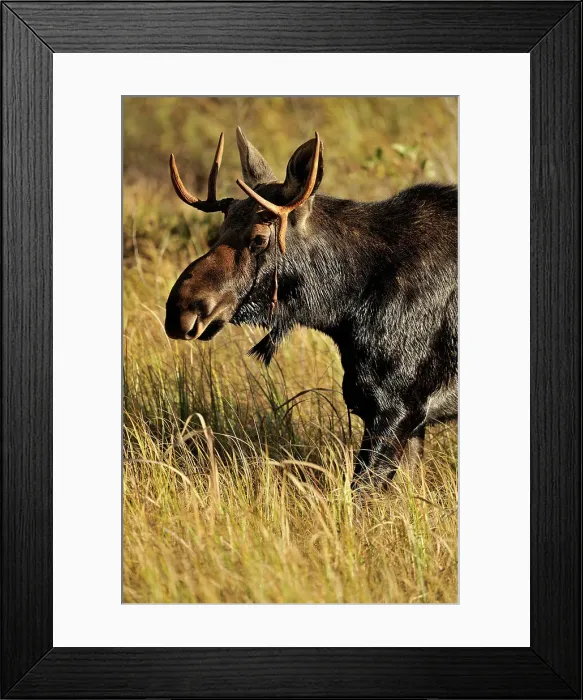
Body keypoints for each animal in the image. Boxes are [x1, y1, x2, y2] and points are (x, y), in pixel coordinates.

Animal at [165, 128, 458, 488]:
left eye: (259, 238)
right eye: (221, 230)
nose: (181, 309)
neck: (345, 307)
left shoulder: (397, 406)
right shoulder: (408, 417)